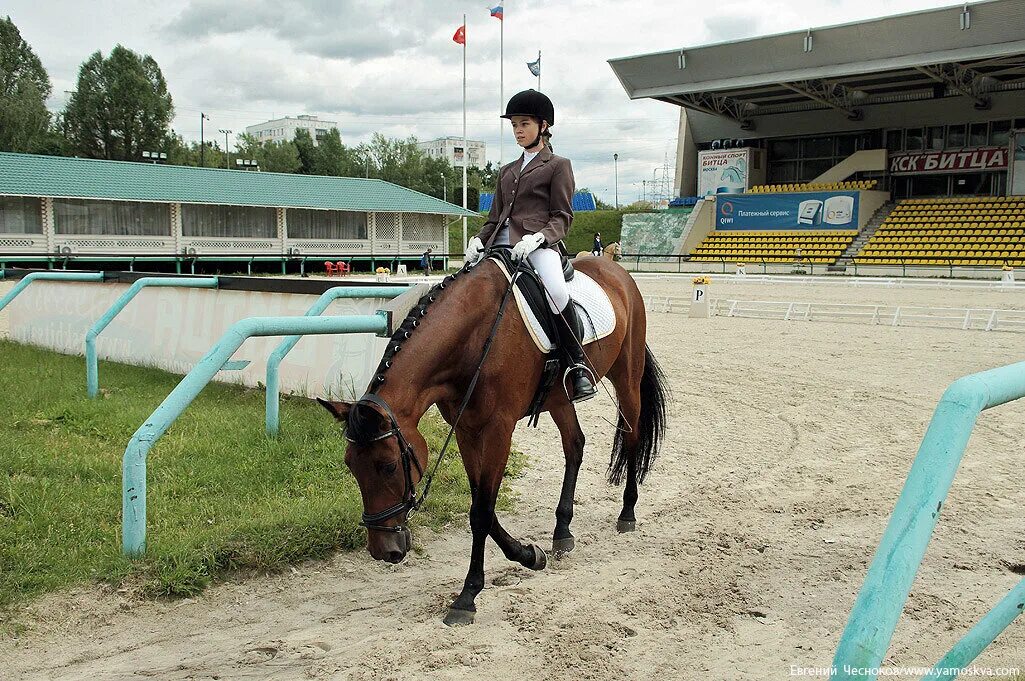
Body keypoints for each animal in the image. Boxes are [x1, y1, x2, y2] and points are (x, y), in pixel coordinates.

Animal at [319, 251, 672, 627]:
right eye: (351, 467)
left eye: (387, 466)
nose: (383, 551)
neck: (473, 340)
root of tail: (616, 269)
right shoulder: (466, 429)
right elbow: (481, 505)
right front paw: (529, 555)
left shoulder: (499, 429)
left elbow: (482, 513)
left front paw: (467, 596)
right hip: (559, 398)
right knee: (575, 445)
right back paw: (562, 532)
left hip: (627, 376)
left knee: (632, 437)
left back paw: (627, 512)